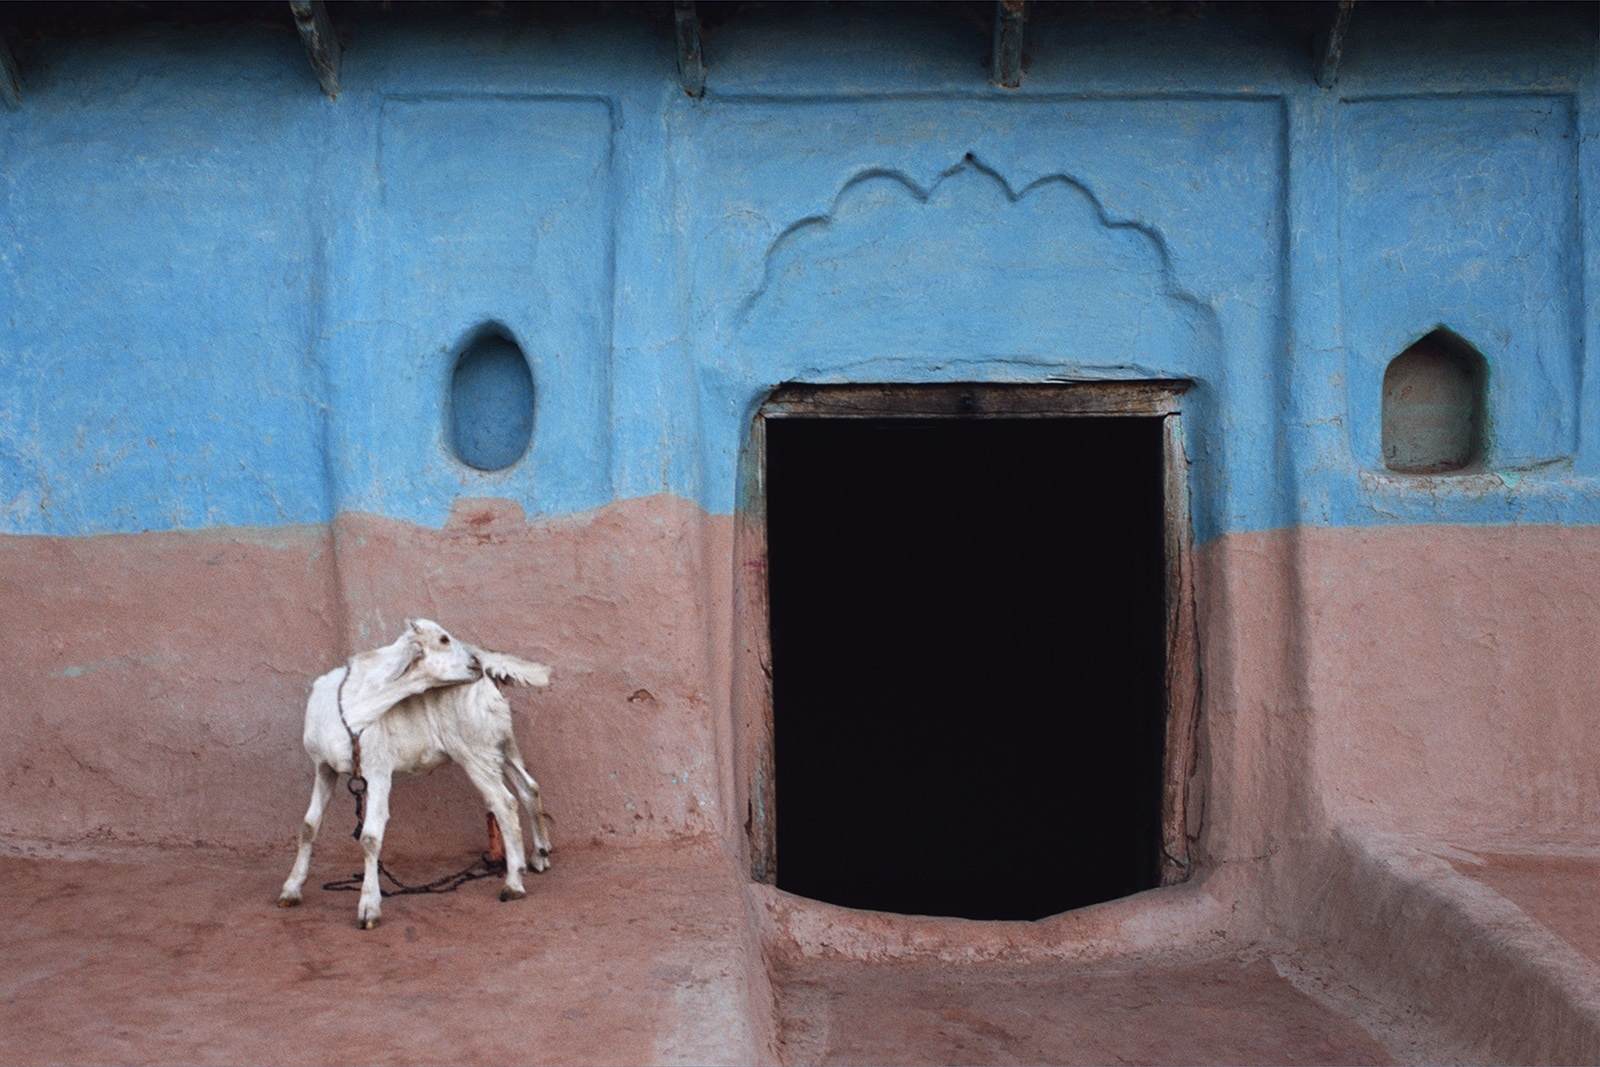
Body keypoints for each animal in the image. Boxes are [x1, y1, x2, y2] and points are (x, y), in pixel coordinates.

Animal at [277, 619, 554, 929]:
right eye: (444, 639)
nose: (475, 661)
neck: (354, 706)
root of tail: (489, 677)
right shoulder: (323, 767)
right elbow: (309, 826)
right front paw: (291, 889)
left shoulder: (378, 771)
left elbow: (370, 837)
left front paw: (368, 907)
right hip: (500, 744)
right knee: (529, 787)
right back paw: (540, 855)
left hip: (475, 750)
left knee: (504, 804)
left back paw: (514, 883)